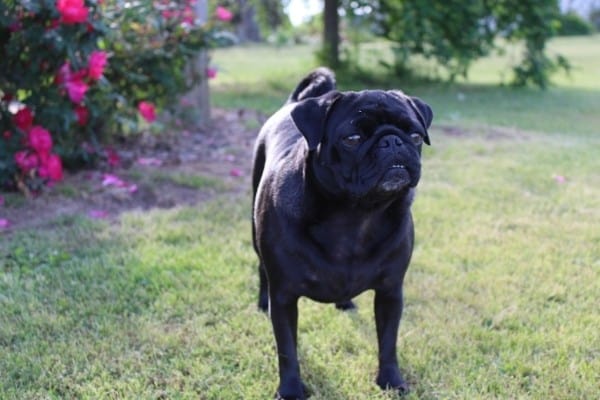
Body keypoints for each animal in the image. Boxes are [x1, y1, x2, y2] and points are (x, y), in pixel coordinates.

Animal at [252, 67, 432, 398]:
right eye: (352, 139)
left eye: (415, 136)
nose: (392, 142)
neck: (355, 215)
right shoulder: (284, 298)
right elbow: (287, 350)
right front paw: (291, 390)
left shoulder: (390, 291)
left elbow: (388, 342)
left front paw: (391, 380)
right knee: (260, 268)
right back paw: (261, 302)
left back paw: (345, 303)